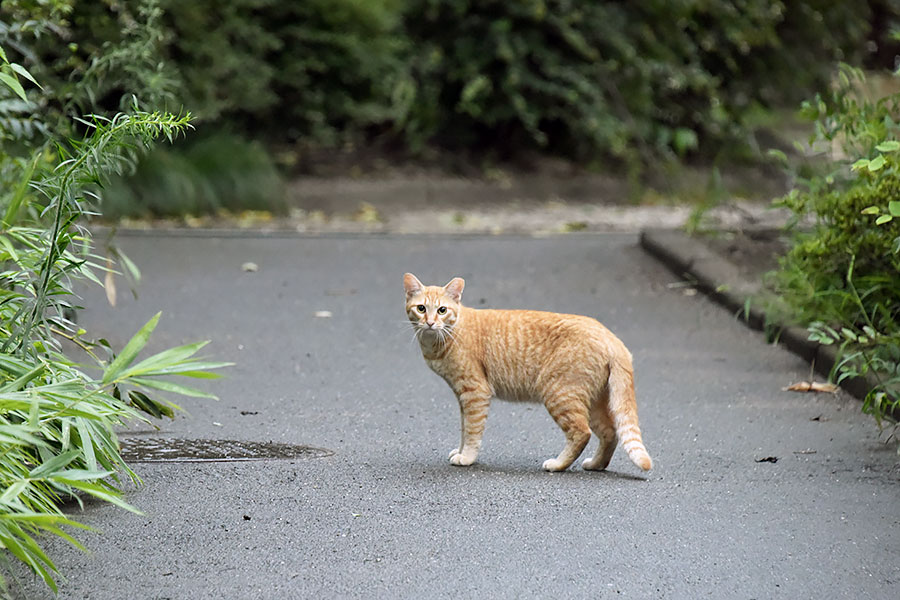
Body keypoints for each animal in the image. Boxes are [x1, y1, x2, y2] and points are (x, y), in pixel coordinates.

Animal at [404, 272, 652, 474]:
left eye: (442, 310)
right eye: (421, 308)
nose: (430, 322)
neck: (439, 340)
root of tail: (610, 335)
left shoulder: (474, 393)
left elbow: (473, 430)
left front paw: (467, 457)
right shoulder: (462, 396)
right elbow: (464, 428)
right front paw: (461, 450)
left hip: (559, 393)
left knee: (581, 433)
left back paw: (558, 465)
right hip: (593, 402)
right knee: (610, 432)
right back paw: (596, 465)